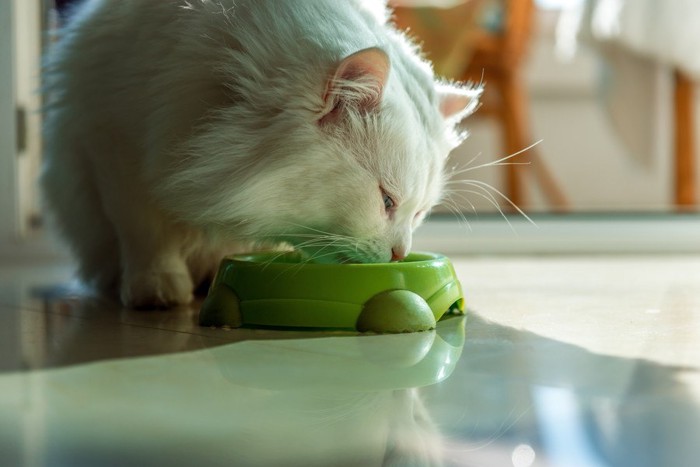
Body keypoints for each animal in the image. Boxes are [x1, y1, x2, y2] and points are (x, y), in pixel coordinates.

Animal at [41, 0, 478, 308]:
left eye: (419, 214)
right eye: (387, 201)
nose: (400, 255)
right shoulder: (116, 145)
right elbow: (147, 235)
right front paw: (157, 289)